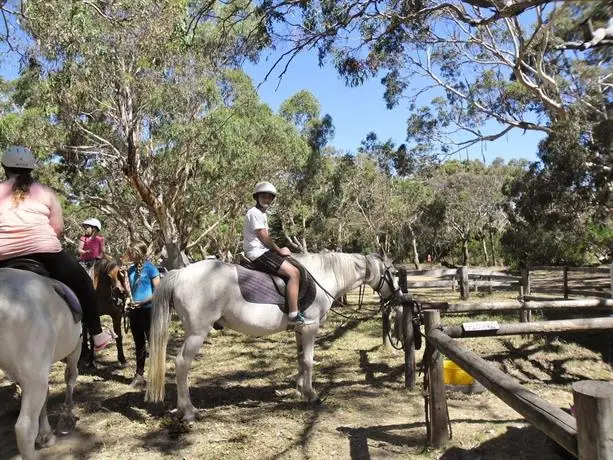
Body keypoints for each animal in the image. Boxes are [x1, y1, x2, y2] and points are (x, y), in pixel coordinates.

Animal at [0, 268, 82, 458]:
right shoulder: (76, 349)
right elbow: (70, 377)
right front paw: (67, 416)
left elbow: (47, 393)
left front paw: (45, 434)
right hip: (35, 375)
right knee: (24, 429)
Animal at [146, 252, 400, 420]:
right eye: (394, 275)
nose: (397, 296)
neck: (323, 275)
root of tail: (180, 273)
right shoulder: (310, 327)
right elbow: (309, 360)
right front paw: (312, 395)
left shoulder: (300, 329)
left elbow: (301, 360)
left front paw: (300, 390)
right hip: (197, 333)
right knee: (182, 363)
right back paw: (188, 411)